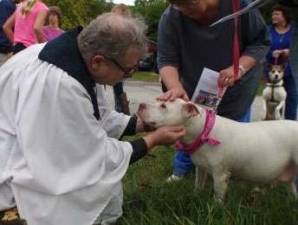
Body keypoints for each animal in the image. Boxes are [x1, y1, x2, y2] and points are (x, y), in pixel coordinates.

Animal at [139, 99, 298, 201]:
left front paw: (216, 208)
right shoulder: (201, 168)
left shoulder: (220, 174)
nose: (141, 105)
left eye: (163, 106)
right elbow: (198, 184)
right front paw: (195, 196)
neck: (203, 131)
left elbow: (218, 194)